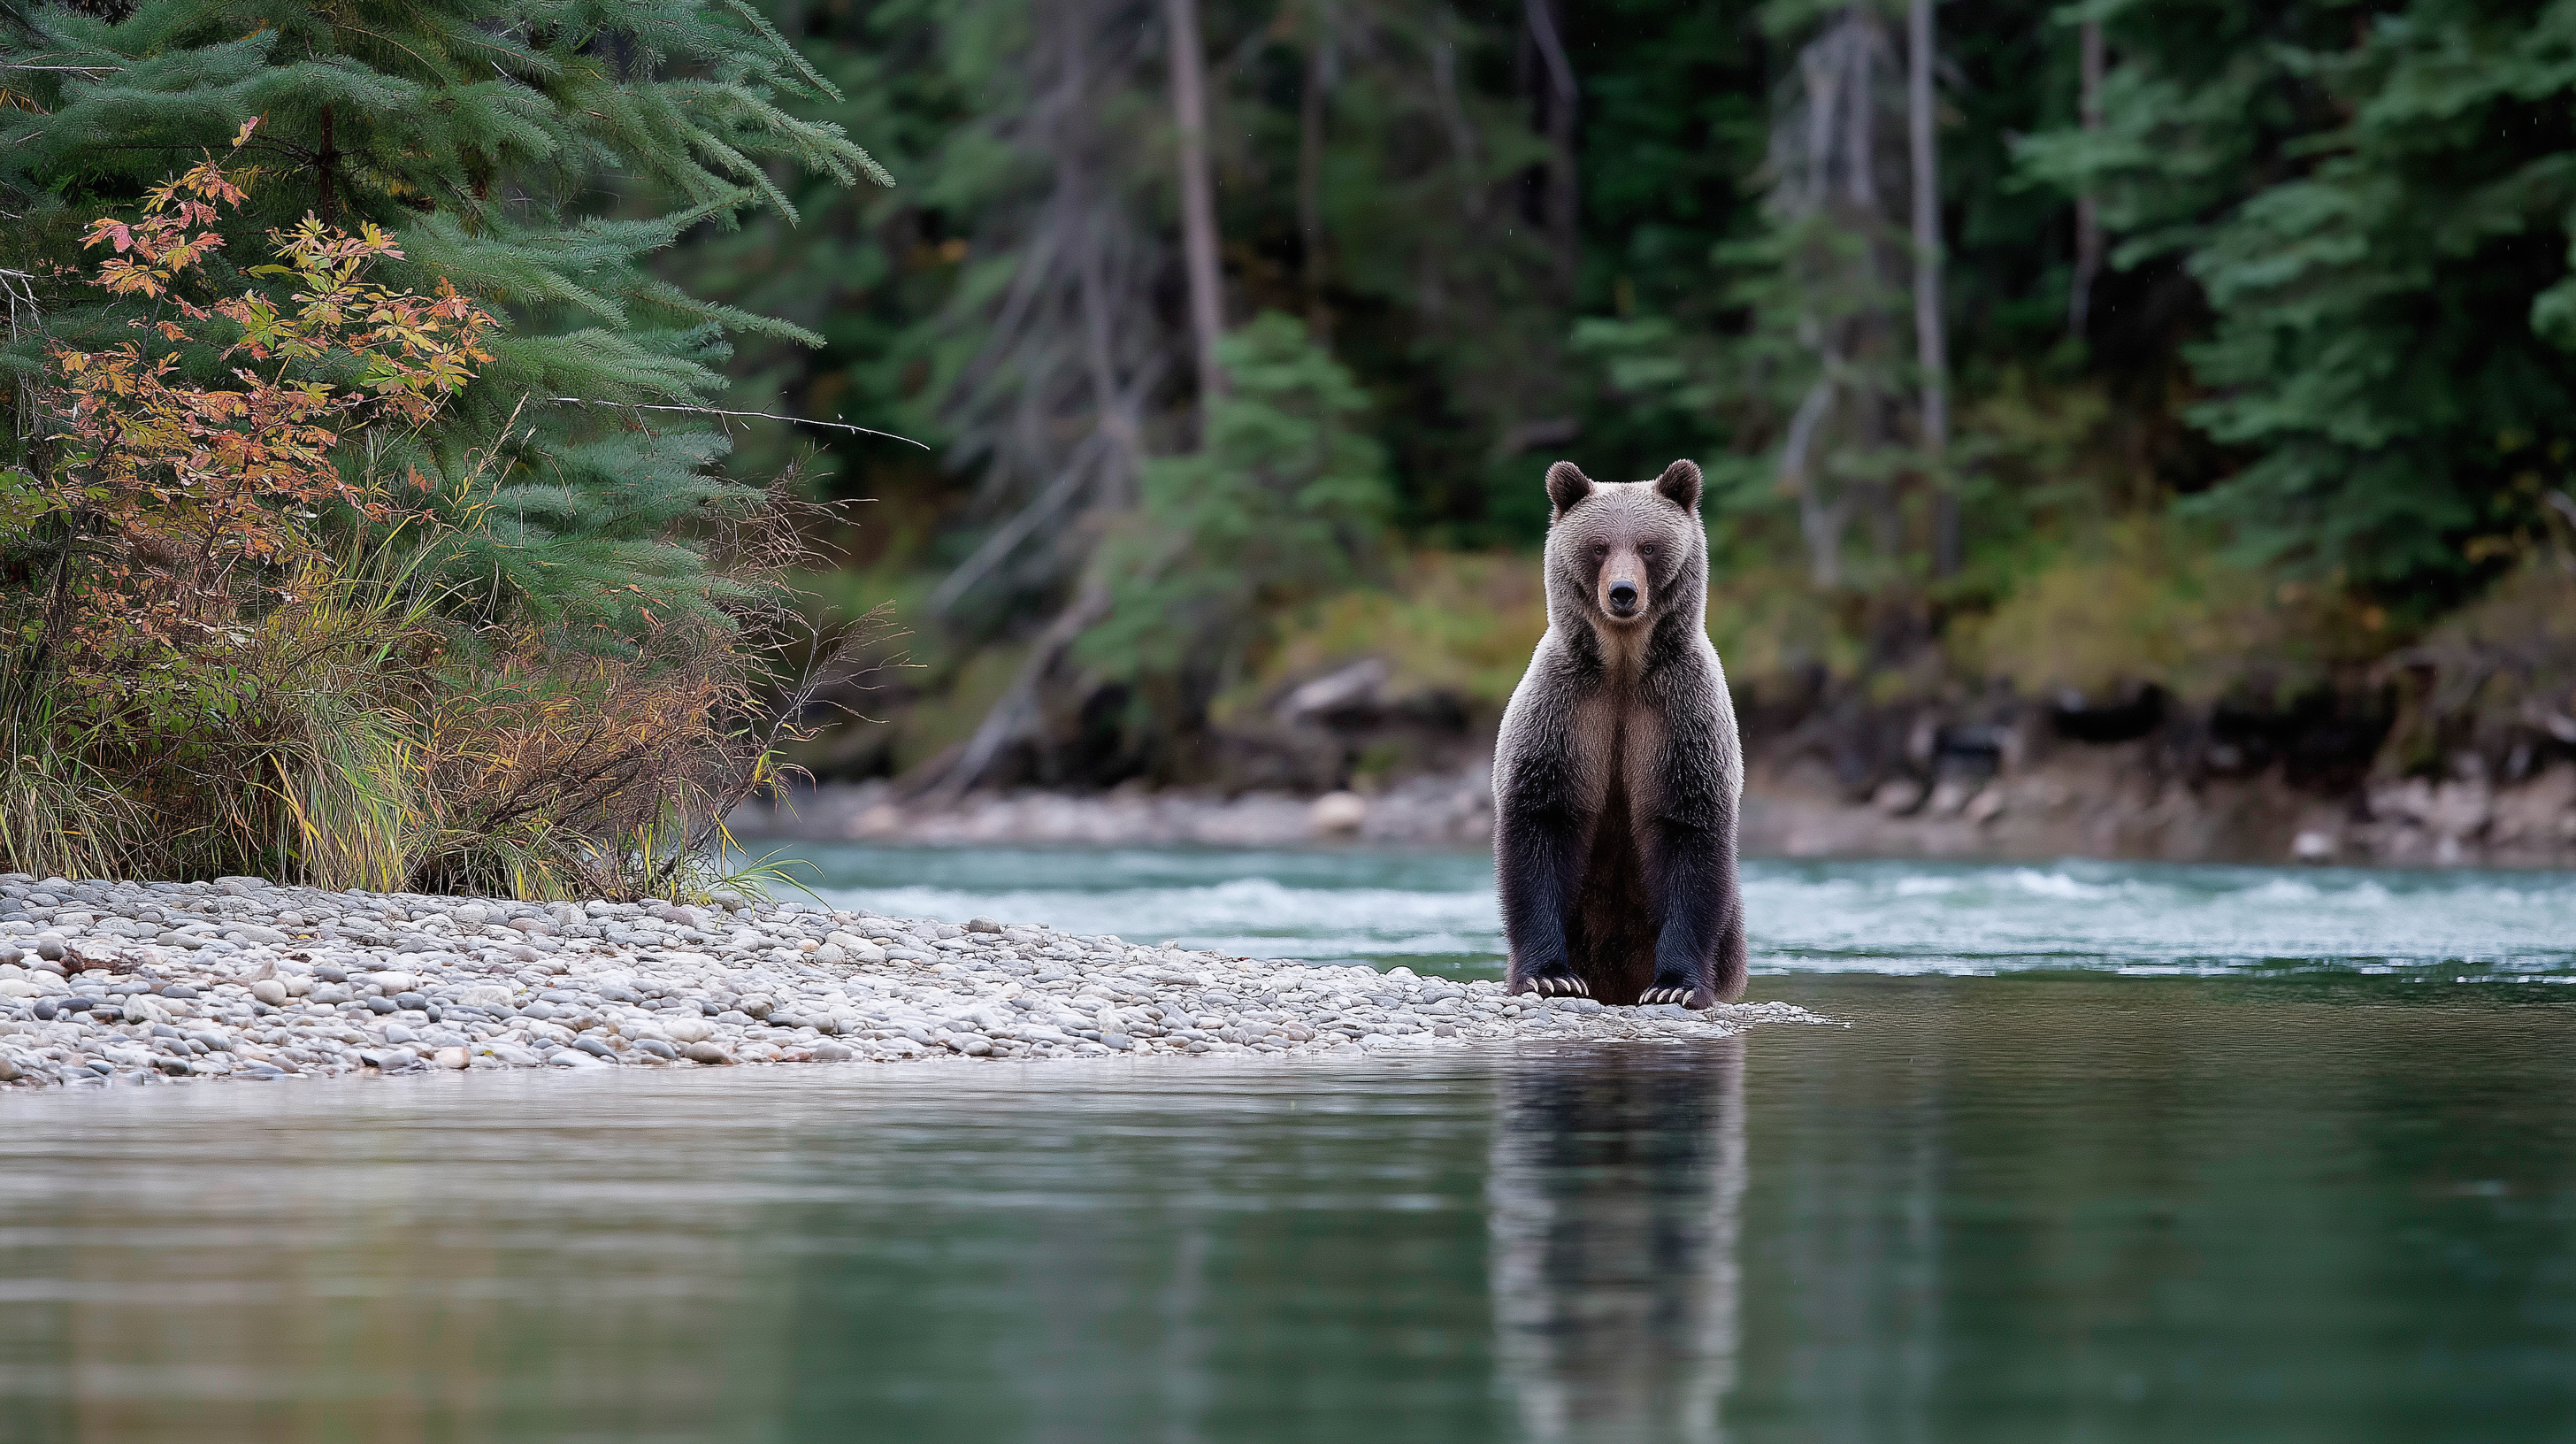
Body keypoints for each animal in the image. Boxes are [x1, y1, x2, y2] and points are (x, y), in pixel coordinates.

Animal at [1491, 458, 1746, 1007]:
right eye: (1599, 545)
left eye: (1648, 545)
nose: (1623, 592)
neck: (1624, 665)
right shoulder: (1565, 710)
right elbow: (1540, 821)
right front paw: (1550, 975)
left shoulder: (1679, 714)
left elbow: (1688, 829)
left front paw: (1675, 985)